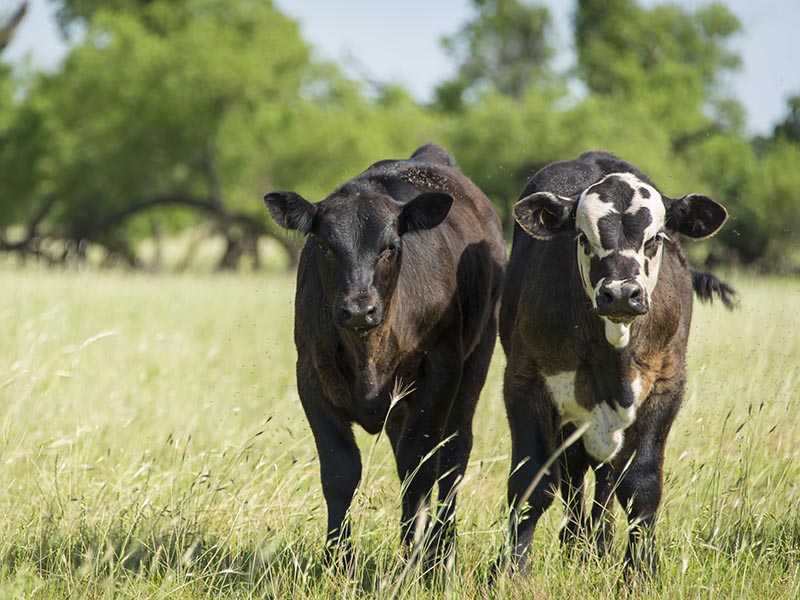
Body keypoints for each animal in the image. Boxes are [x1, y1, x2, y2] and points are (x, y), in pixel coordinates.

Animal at [263, 143, 506, 570]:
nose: (359, 310)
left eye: (390, 247)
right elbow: (340, 470)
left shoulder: (440, 372)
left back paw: (442, 551)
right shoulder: (310, 375)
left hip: (477, 358)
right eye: (325, 246)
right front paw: (337, 560)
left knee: (453, 455)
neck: (369, 354)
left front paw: (413, 558)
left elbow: (418, 466)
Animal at [499, 150, 734, 577]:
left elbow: (641, 485)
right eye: (583, 236)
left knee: (606, 478)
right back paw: (579, 542)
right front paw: (511, 570)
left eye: (655, 238)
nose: (621, 293)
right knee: (576, 474)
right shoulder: (524, 383)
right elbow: (531, 482)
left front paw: (641, 570)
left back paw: (598, 543)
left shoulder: (667, 386)